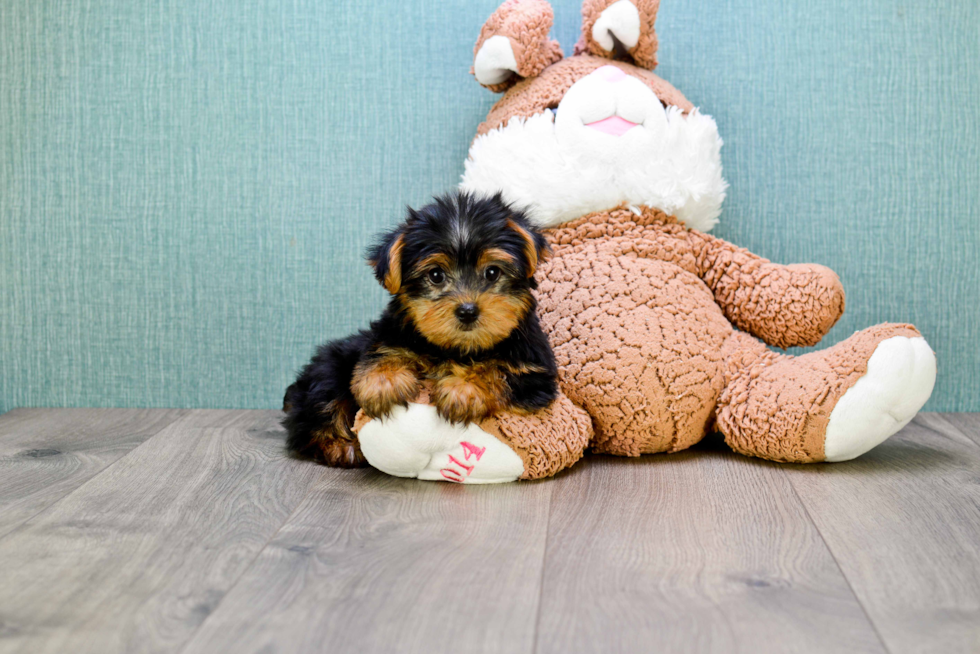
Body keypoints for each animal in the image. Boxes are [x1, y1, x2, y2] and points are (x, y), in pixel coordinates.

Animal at [284, 192, 560, 468]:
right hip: (329, 369)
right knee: (315, 415)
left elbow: (498, 369)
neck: (456, 348)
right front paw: (385, 381)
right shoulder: (389, 336)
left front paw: (463, 388)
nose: (467, 311)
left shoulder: (534, 373)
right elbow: (382, 352)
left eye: (492, 272)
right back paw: (342, 446)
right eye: (436, 275)